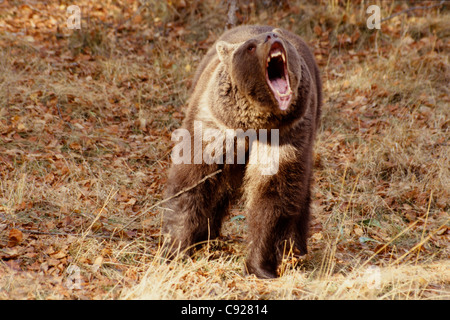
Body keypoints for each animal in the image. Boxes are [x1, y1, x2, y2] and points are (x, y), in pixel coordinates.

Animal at [162, 25, 320, 278]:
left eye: (279, 37)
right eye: (251, 46)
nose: (272, 36)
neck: (256, 123)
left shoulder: (285, 137)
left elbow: (272, 196)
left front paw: (259, 267)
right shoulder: (213, 129)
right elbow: (192, 182)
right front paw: (176, 249)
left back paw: (296, 250)